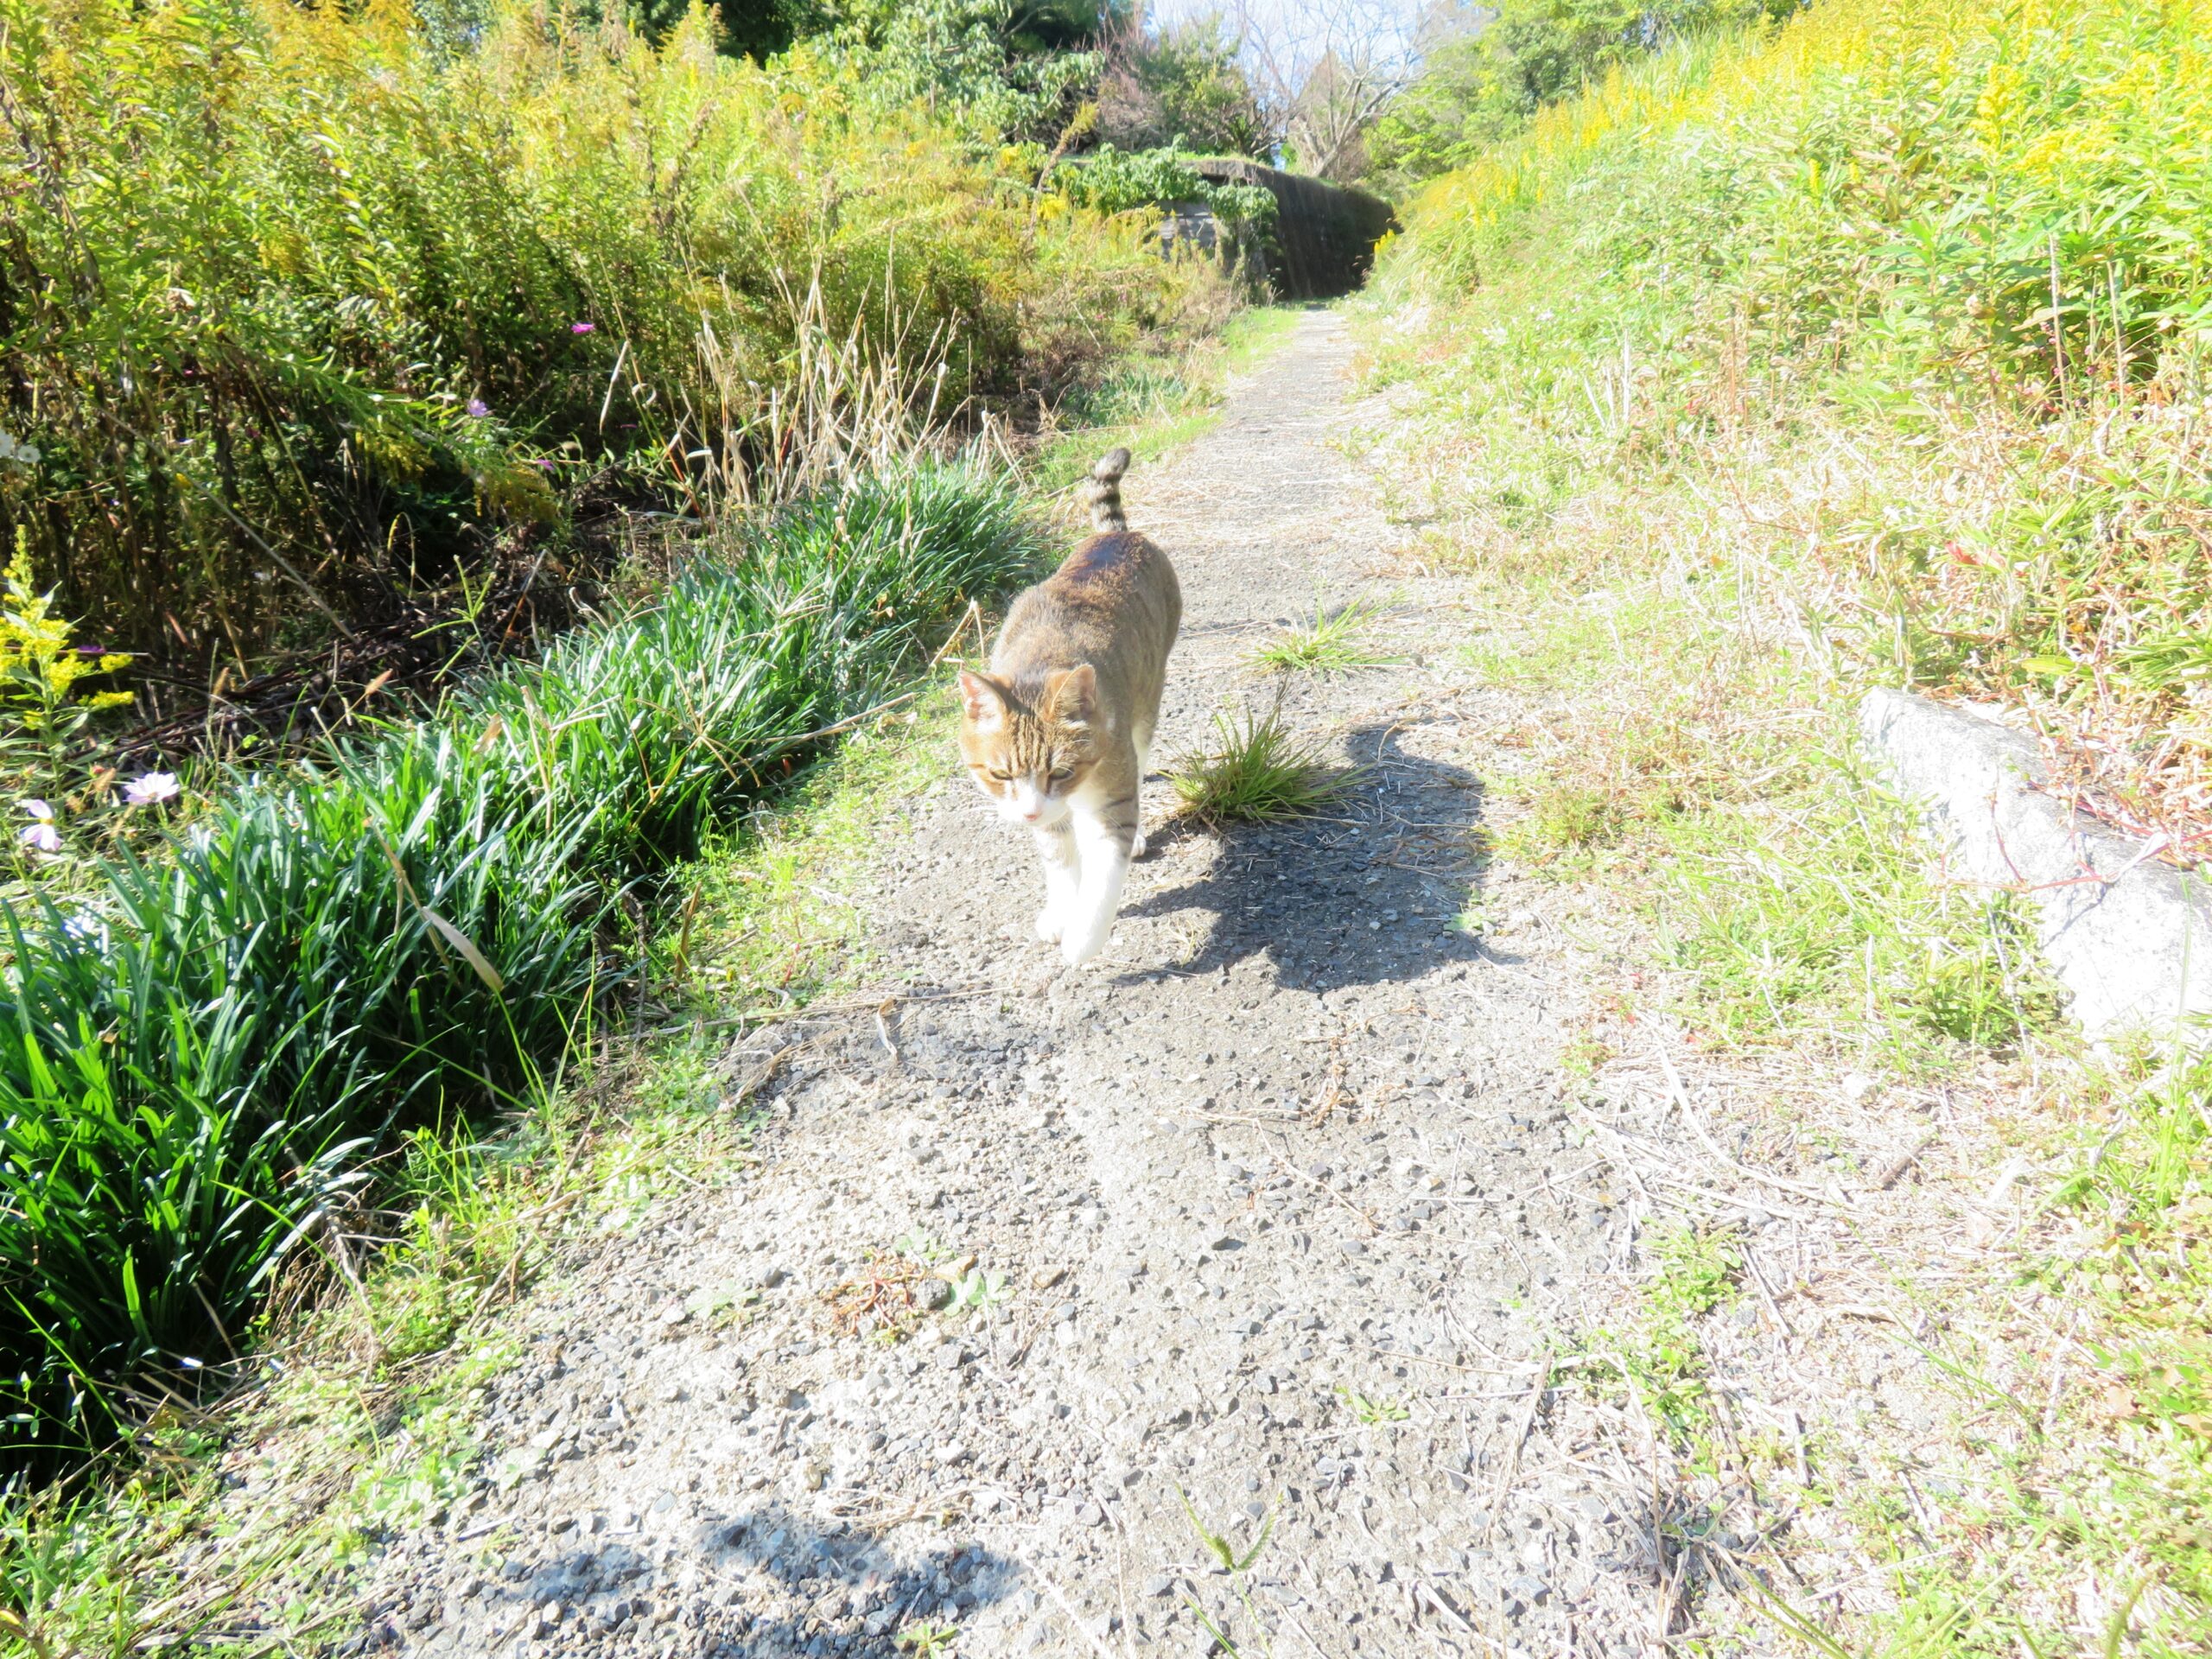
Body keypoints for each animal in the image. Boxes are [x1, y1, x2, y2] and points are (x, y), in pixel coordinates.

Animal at [960, 451, 1185, 973]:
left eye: (1061, 771)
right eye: (1000, 775)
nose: (1027, 813)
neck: (1042, 661)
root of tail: (1117, 535)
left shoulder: (1108, 799)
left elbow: (1102, 879)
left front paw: (1083, 938)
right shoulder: (1048, 817)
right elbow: (1061, 863)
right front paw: (1062, 912)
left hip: (1147, 703)